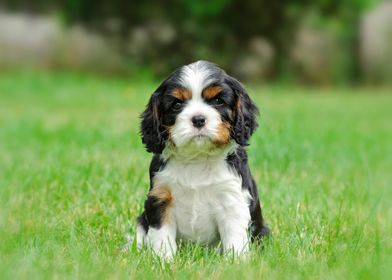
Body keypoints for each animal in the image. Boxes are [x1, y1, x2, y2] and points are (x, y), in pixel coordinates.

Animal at [136, 60, 270, 260]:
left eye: (217, 101)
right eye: (177, 104)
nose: (198, 119)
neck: (197, 158)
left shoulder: (232, 201)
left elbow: (235, 240)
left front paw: (236, 262)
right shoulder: (159, 198)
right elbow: (162, 237)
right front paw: (163, 260)